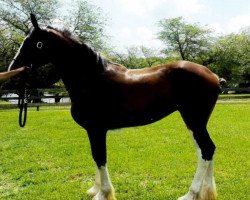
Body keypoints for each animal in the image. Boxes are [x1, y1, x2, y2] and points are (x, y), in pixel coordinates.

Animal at [8, 13, 221, 199]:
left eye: (36, 44)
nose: (13, 69)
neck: (92, 78)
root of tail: (213, 76)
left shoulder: (96, 129)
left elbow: (100, 157)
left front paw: (103, 193)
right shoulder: (93, 130)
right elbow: (95, 157)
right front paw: (95, 189)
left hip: (193, 119)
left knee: (207, 149)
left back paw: (191, 194)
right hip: (194, 122)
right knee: (205, 151)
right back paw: (206, 192)